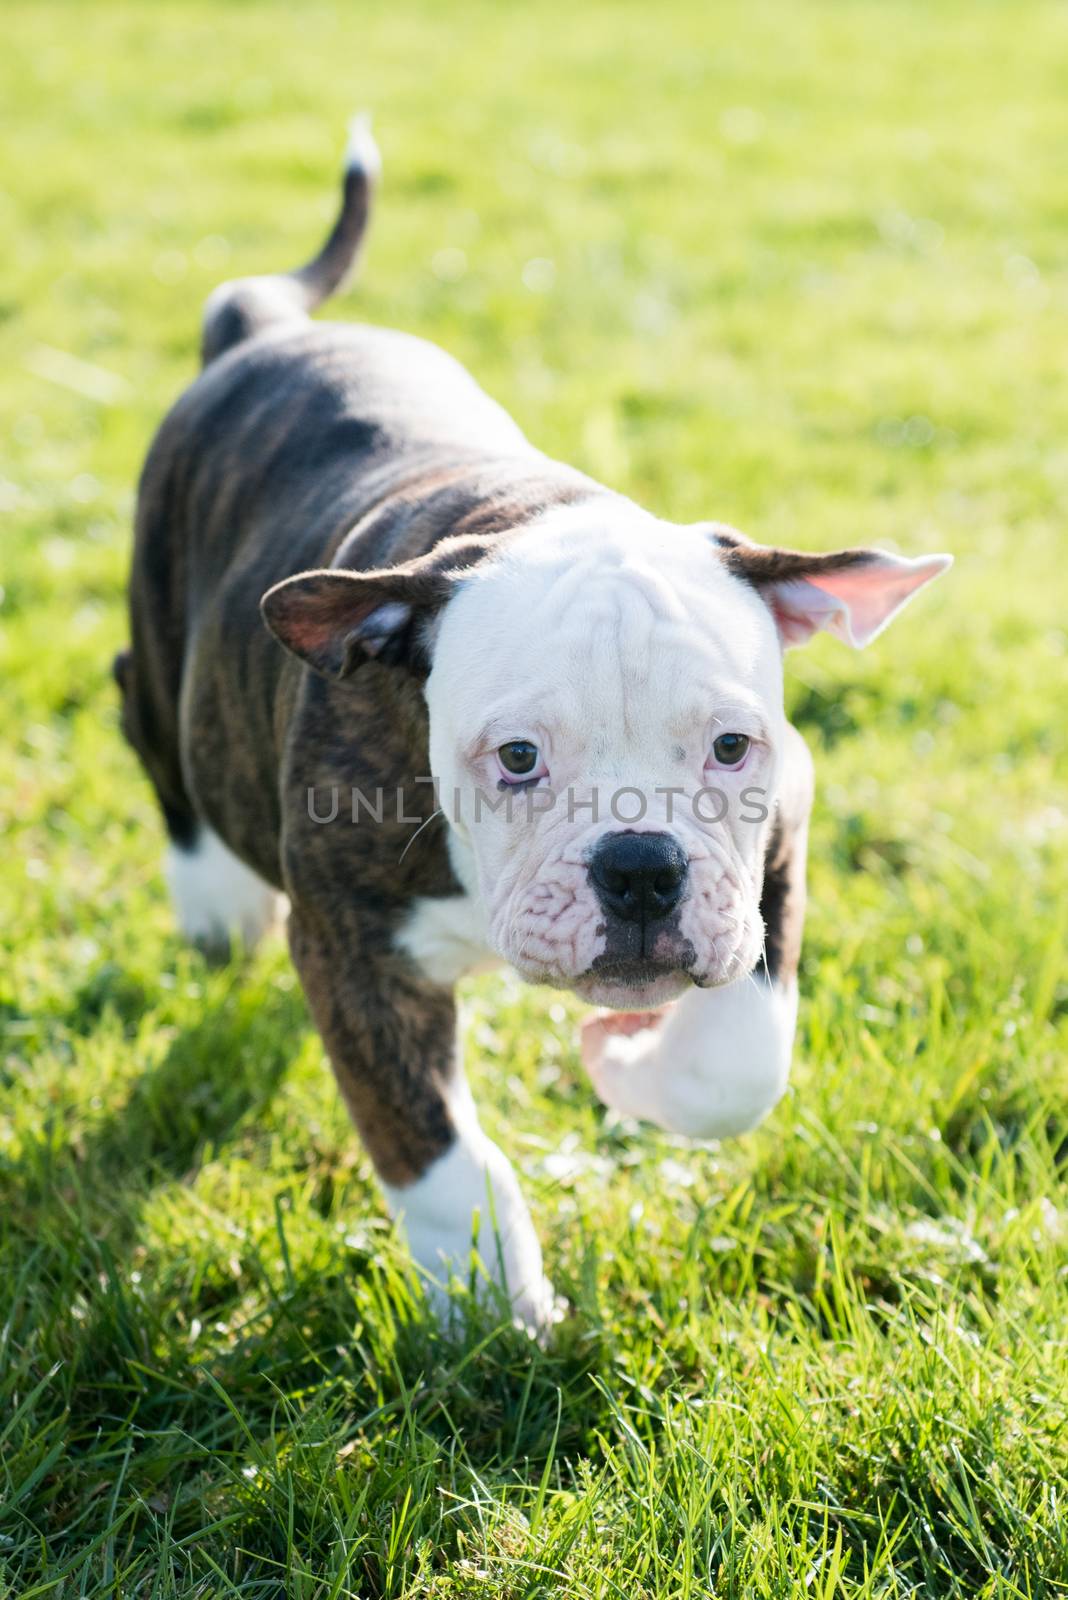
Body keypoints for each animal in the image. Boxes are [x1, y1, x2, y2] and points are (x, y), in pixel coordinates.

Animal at [119, 121, 952, 1324]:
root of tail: (262, 332)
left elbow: (742, 1058)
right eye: (517, 760)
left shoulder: (778, 836)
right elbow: (435, 1151)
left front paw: (628, 1062)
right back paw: (213, 899)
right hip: (160, 622)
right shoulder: (353, 945)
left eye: (731, 747)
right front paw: (487, 1302)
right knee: (152, 725)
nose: (641, 867)